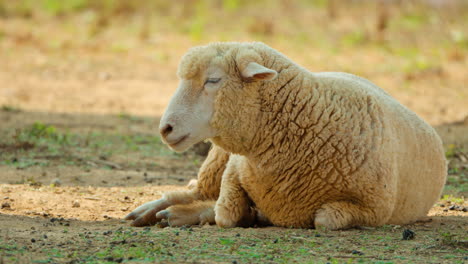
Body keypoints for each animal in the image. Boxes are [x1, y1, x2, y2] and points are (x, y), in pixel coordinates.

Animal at [124, 41, 446, 229]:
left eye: (213, 80)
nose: (165, 128)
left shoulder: (372, 210)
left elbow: (324, 220)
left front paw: (246, 214)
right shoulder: (236, 166)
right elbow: (225, 213)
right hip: (217, 157)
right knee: (195, 190)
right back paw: (150, 211)